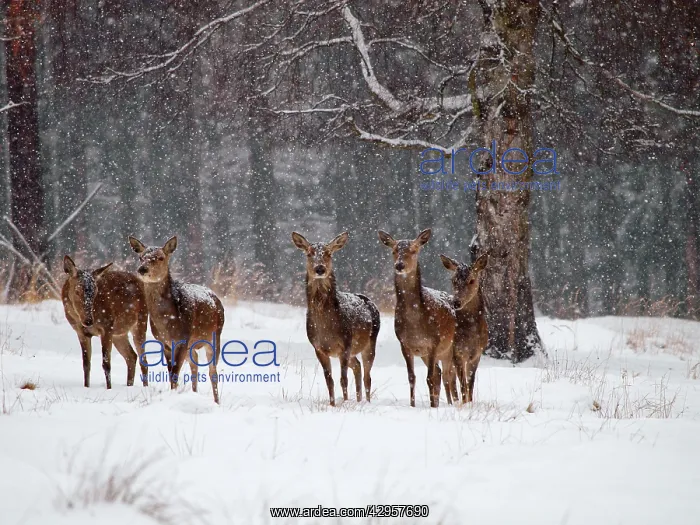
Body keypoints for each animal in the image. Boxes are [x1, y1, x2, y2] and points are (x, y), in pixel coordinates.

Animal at [62, 256, 148, 389]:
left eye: (95, 291)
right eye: (77, 291)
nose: (88, 321)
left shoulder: (106, 327)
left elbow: (106, 364)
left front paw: (109, 388)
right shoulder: (80, 332)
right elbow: (86, 364)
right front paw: (86, 387)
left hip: (141, 321)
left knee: (143, 360)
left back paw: (145, 387)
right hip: (119, 333)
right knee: (131, 356)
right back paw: (129, 386)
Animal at [128, 235, 225, 404]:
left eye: (160, 257)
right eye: (141, 257)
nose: (142, 269)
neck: (167, 322)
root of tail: (216, 298)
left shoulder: (182, 338)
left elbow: (175, 373)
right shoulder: (165, 343)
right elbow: (171, 372)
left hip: (214, 335)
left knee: (212, 370)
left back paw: (217, 402)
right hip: (192, 344)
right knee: (195, 364)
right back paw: (194, 394)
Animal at [291, 231, 380, 407]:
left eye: (328, 253)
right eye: (309, 253)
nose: (320, 268)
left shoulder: (345, 344)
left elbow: (343, 380)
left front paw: (344, 403)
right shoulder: (318, 348)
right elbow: (329, 380)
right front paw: (332, 404)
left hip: (370, 341)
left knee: (367, 376)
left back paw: (366, 402)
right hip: (353, 350)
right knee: (357, 366)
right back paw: (358, 400)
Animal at [378, 229, 457, 408]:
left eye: (414, 250)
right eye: (394, 251)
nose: (399, 265)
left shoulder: (434, 342)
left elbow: (430, 378)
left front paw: (433, 406)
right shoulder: (405, 344)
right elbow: (412, 377)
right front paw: (413, 405)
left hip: (451, 347)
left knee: (449, 375)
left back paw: (451, 403)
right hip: (426, 354)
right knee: (441, 373)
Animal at [440, 253, 488, 403]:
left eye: (471, 280)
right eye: (453, 280)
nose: (456, 302)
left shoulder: (477, 354)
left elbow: (470, 385)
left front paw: (469, 403)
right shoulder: (457, 352)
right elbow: (463, 386)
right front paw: (465, 404)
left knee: (449, 378)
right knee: (446, 377)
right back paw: (451, 403)